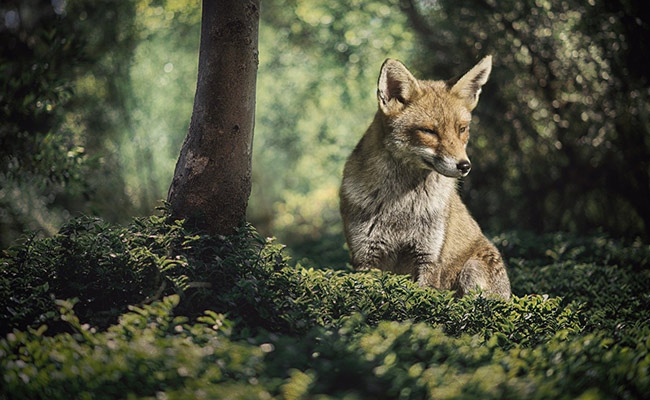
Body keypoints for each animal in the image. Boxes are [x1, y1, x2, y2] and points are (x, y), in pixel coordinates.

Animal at [339, 56, 511, 300]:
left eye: (462, 129)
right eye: (429, 131)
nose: (465, 166)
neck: (401, 206)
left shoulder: (429, 257)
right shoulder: (366, 258)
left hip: (471, 270)